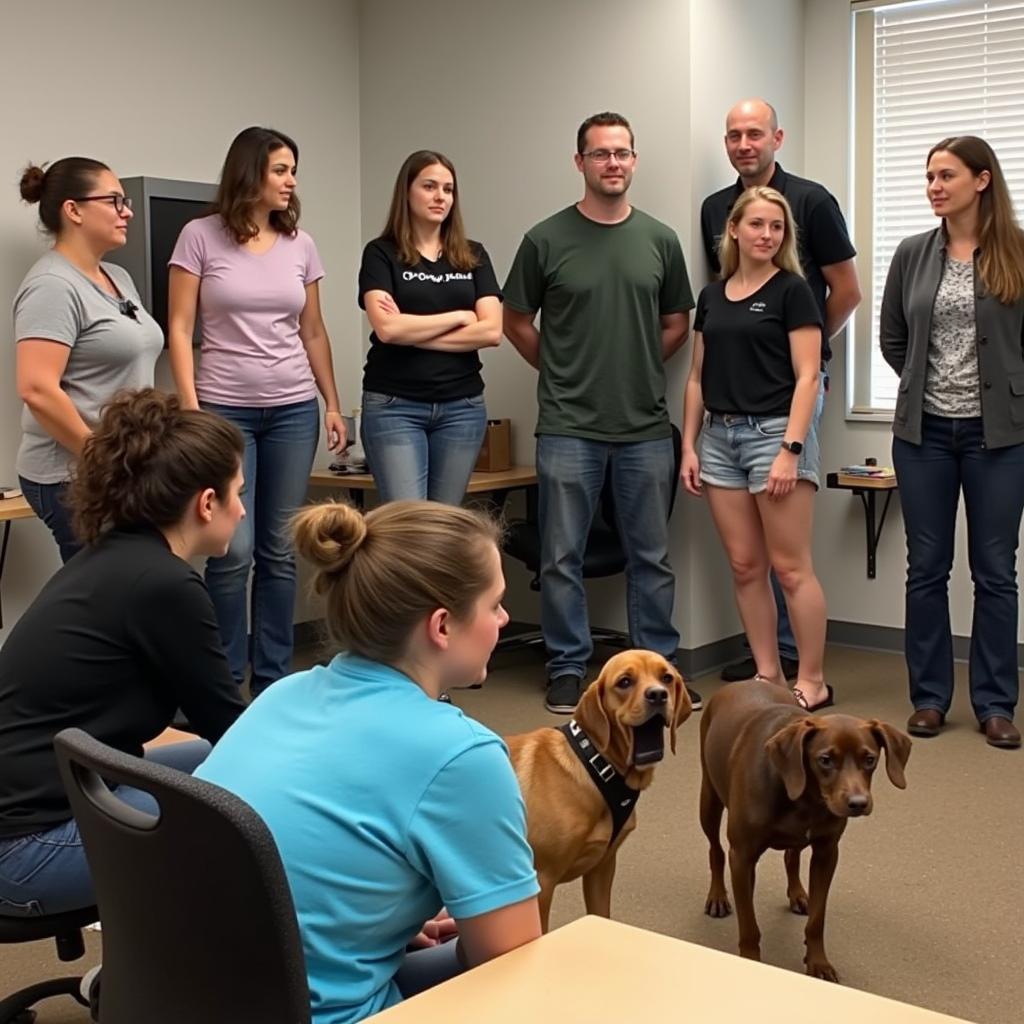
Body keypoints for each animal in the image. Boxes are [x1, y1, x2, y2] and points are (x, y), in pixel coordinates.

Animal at [507, 651, 692, 933]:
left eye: (667, 678)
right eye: (625, 682)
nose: (658, 695)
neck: (597, 766)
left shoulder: (602, 868)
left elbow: (601, 915)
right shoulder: (541, 881)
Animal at [700, 679, 909, 983]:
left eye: (869, 759)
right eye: (825, 759)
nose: (858, 803)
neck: (806, 798)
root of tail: (744, 681)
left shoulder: (826, 854)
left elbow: (817, 920)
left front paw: (818, 962)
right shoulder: (742, 857)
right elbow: (749, 925)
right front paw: (752, 963)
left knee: (791, 856)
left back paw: (798, 894)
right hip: (709, 800)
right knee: (714, 850)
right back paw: (717, 896)